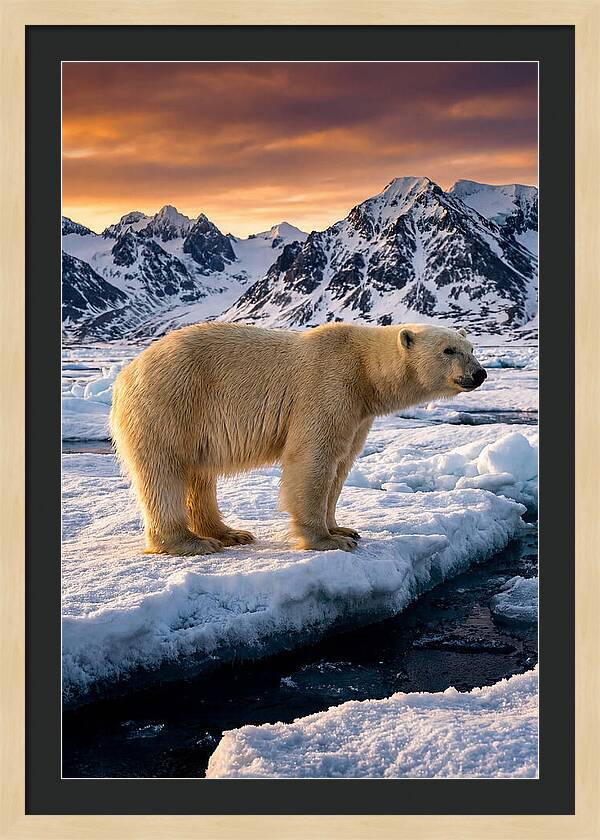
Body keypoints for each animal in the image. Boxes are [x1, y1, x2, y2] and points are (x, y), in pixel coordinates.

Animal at [110, 322, 486, 555]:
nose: (480, 373)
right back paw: (189, 542)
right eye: (448, 350)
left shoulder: (358, 413)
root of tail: (127, 373)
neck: (364, 370)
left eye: (471, 347)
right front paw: (326, 541)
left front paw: (343, 529)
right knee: (165, 470)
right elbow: (313, 459)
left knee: (200, 475)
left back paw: (228, 533)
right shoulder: (329, 385)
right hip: (172, 401)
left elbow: (341, 464)